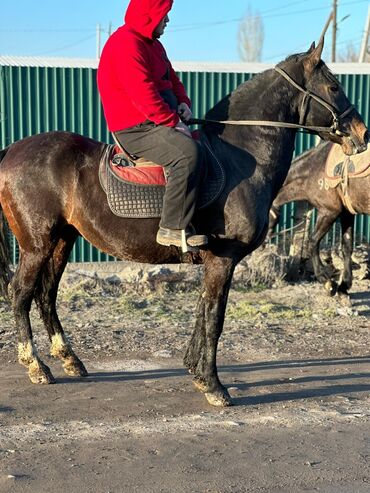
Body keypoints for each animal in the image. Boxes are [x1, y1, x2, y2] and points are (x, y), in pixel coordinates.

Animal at [268, 139, 370, 300]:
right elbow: (347, 247)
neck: (313, 170)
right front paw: (344, 287)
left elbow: (312, 241)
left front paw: (326, 281)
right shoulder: (346, 213)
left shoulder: (328, 212)